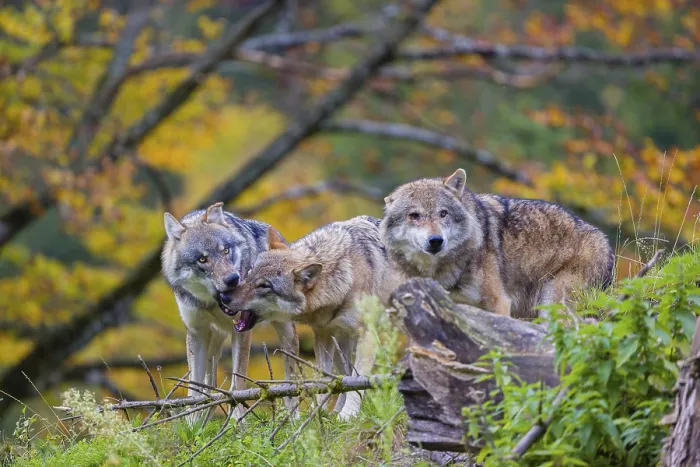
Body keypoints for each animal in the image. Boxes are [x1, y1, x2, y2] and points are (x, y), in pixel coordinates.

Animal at [161, 202, 299, 417]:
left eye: (226, 251)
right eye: (202, 259)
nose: (233, 279)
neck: (210, 304)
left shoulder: (241, 331)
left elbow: (237, 385)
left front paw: (237, 421)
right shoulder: (196, 332)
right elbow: (195, 390)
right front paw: (193, 423)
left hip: (286, 334)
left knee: (292, 380)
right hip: (213, 343)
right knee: (210, 385)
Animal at [229, 215, 405, 419]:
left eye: (264, 286)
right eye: (249, 274)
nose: (224, 296)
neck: (346, 273)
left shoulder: (367, 335)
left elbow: (357, 380)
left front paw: (348, 415)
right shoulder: (323, 335)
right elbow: (322, 380)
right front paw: (317, 414)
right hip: (341, 343)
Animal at [380, 168, 614, 320]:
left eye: (443, 213)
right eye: (414, 216)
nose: (436, 241)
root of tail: (606, 242)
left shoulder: (499, 302)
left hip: (553, 304)